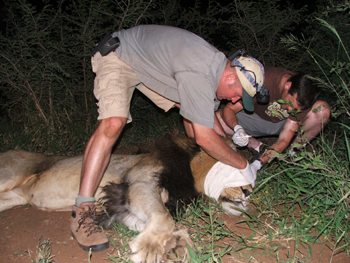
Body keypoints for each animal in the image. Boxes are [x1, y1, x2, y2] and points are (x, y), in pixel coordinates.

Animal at [0, 135, 252, 262]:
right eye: (235, 167)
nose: (249, 191)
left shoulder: (122, 205)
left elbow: (153, 223)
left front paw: (175, 241)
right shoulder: (140, 184)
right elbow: (164, 217)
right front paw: (148, 251)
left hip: (13, 197)